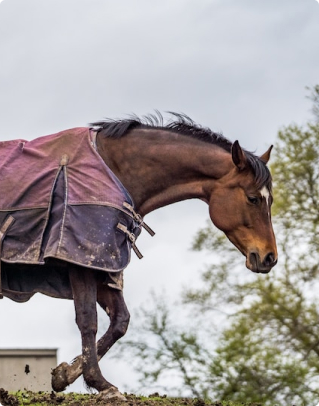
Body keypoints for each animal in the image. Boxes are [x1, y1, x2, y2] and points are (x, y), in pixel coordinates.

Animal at [0, 113, 278, 400]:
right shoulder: (81, 259)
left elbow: (120, 322)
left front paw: (65, 374)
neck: (113, 169)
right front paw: (101, 384)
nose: (269, 257)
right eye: (253, 198)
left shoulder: (103, 265)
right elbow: (88, 320)